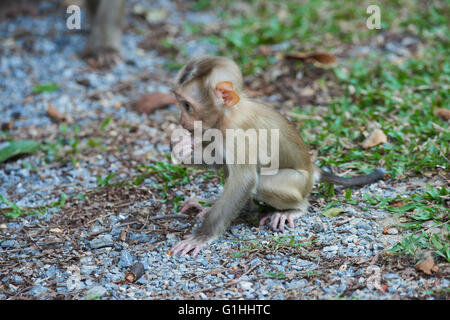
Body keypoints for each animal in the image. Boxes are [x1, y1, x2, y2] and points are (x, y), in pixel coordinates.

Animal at [169, 55, 384, 256]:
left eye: (187, 105)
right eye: (179, 103)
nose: (181, 120)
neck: (229, 115)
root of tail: (312, 168)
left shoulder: (238, 135)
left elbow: (244, 181)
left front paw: (201, 237)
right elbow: (221, 162)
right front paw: (184, 150)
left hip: (300, 184)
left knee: (263, 183)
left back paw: (294, 209)